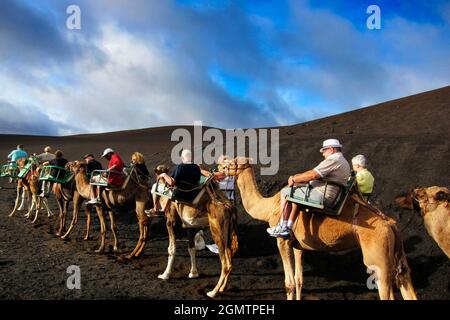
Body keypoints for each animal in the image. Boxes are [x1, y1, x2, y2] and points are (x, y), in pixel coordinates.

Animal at [216, 157, 416, 300]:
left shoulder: (282, 242)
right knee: (406, 282)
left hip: (378, 254)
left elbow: (289, 283)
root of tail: (390, 225)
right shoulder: (298, 245)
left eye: (232, 161)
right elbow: (299, 280)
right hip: (397, 255)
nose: (219, 163)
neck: (268, 208)